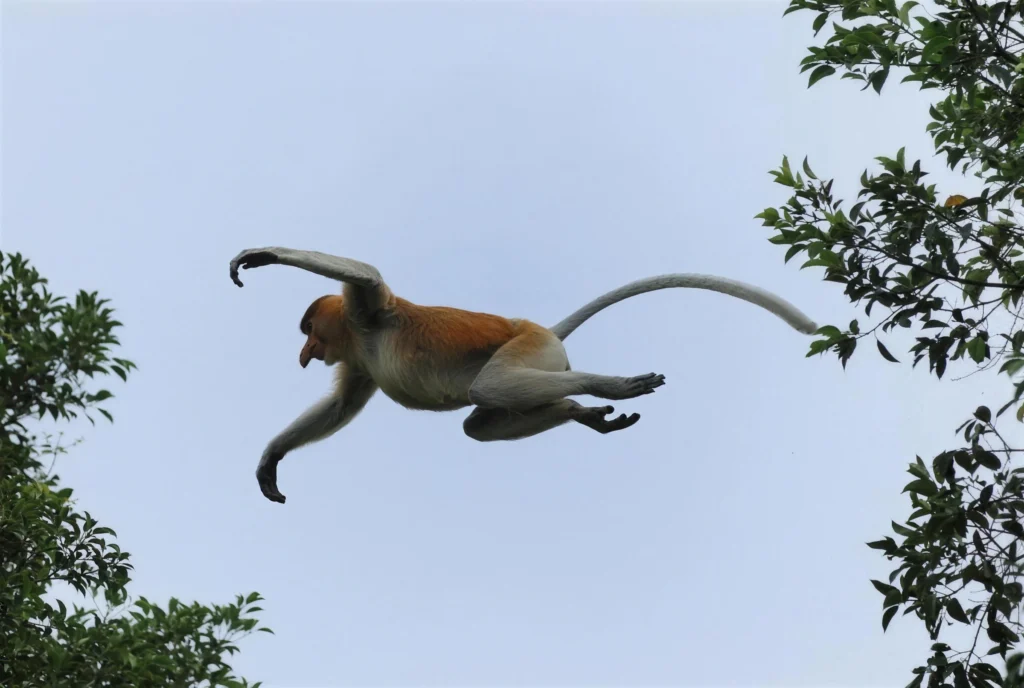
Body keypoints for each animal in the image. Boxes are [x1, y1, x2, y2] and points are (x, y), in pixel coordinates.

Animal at [229, 247, 817, 504]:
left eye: (310, 328)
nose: (305, 351)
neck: (358, 336)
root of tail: (545, 330)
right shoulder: (357, 360)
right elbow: (340, 407)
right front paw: (270, 460)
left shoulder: (369, 311)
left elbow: (366, 275)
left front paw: (261, 255)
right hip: (536, 360)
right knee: (480, 422)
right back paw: (582, 412)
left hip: (527, 348)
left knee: (487, 389)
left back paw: (607, 386)